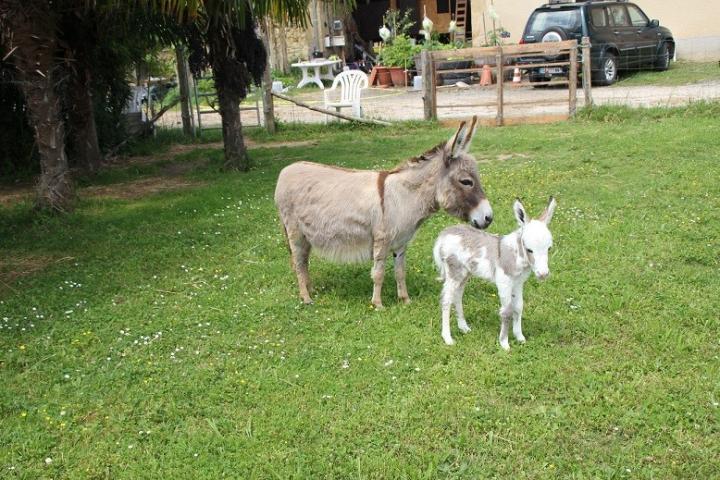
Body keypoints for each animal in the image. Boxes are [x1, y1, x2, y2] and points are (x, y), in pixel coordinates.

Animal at [434, 197, 556, 350]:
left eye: (549, 248)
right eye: (529, 249)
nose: (543, 274)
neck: (515, 254)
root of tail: (444, 233)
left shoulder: (518, 283)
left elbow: (518, 307)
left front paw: (520, 337)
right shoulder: (504, 282)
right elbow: (507, 311)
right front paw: (504, 344)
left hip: (465, 273)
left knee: (458, 296)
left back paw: (464, 328)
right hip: (454, 272)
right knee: (446, 300)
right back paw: (448, 338)